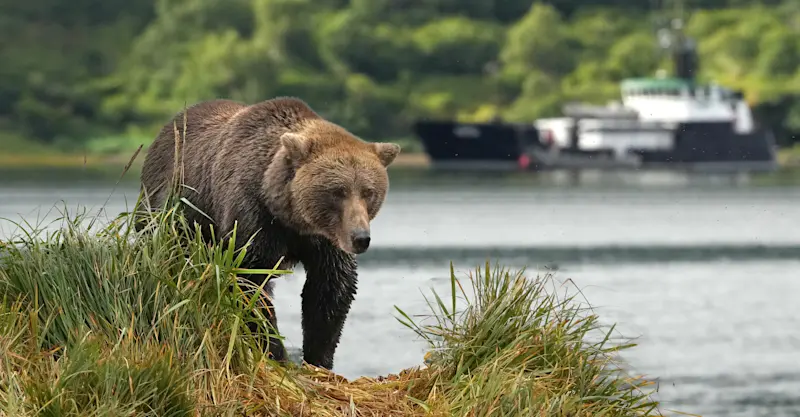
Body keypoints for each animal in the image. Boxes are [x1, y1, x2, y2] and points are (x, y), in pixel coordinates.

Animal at [136, 97, 401, 370]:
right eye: (338, 191)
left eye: (369, 192)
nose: (360, 238)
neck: (289, 215)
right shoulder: (253, 218)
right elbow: (250, 284)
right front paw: (276, 352)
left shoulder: (324, 239)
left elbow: (330, 289)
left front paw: (318, 358)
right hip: (174, 211)